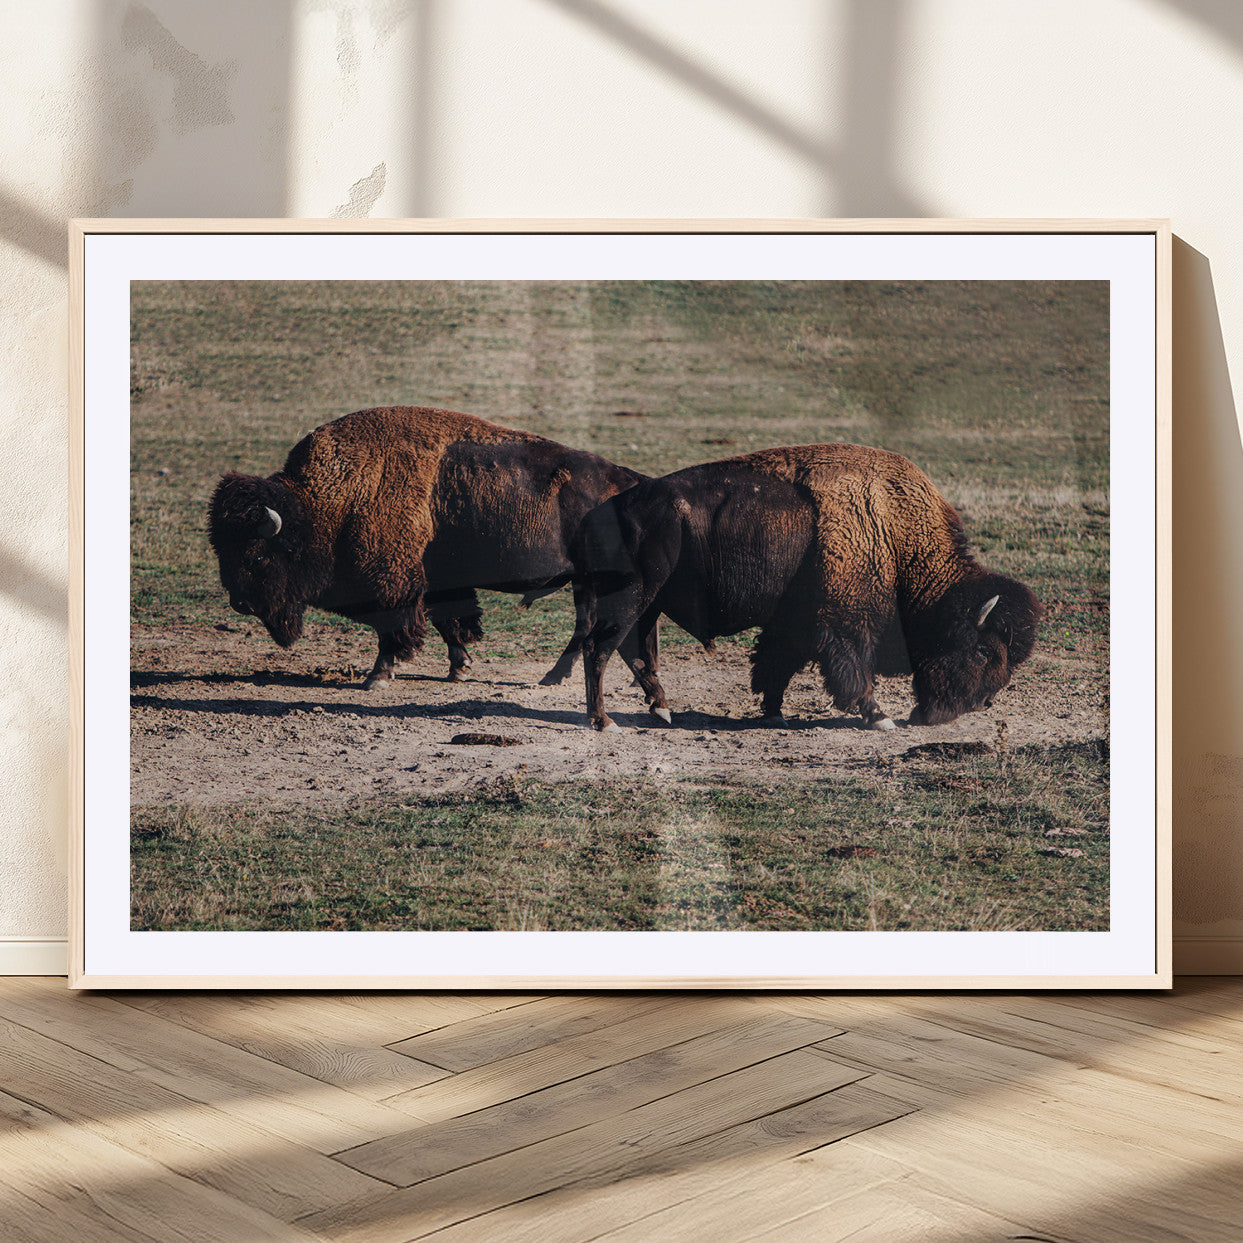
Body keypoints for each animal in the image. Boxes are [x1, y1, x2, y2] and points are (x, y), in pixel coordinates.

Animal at [208, 406, 643, 687]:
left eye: (258, 555)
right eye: (220, 550)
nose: (240, 603)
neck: (330, 502)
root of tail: (629, 481)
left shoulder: (392, 585)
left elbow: (395, 628)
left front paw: (377, 677)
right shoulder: (435, 581)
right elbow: (449, 621)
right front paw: (459, 668)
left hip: (593, 578)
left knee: (589, 625)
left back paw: (553, 677)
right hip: (585, 580)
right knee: (589, 624)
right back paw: (557, 677)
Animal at [567, 443, 1042, 732]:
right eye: (983, 651)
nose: (978, 704)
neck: (892, 534)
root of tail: (599, 512)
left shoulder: (794, 623)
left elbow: (775, 664)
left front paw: (773, 714)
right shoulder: (844, 623)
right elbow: (854, 670)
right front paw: (879, 717)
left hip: (648, 603)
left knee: (633, 650)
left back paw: (661, 710)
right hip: (632, 597)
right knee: (599, 648)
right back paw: (604, 721)